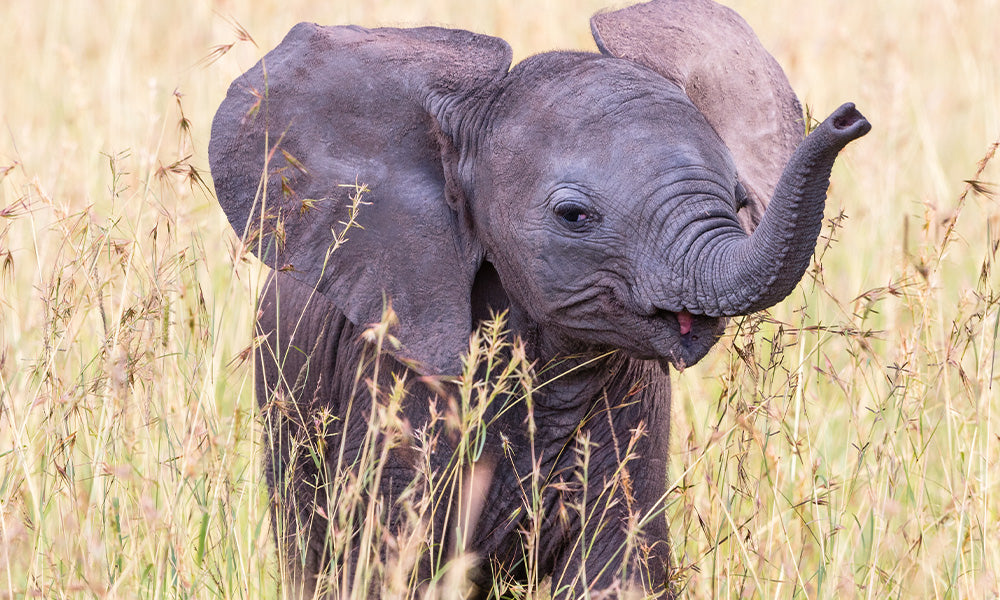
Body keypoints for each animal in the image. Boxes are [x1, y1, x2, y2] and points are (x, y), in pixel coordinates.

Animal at [208, 0, 870, 597]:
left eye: (738, 201)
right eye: (574, 216)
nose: (850, 117)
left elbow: (614, 570)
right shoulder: (390, 378)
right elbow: (384, 564)